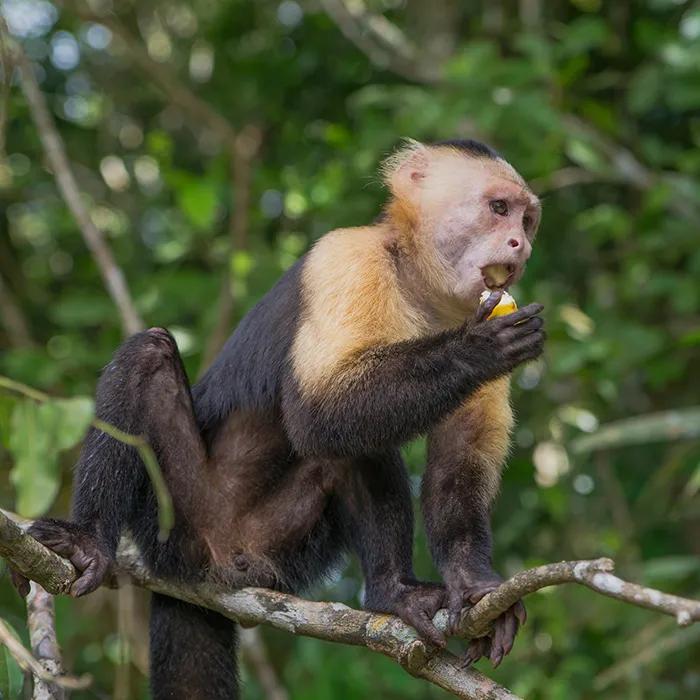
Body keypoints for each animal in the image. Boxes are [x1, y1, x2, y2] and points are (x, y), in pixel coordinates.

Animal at [18, 138, 544, 699]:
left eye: (528, 220)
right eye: (498, 209)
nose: (520, 245)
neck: (418, 280)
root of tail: (212, 565)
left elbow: (458, 460)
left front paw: (475, 586)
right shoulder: (347, 259)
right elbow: (316, 411)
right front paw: (479, 348)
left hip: (282, 545)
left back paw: (393, 594)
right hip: (172, 517)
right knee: (150, 354)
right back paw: (88, 538)